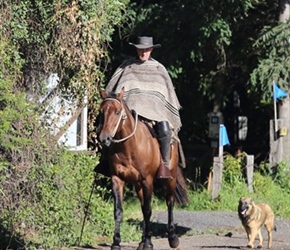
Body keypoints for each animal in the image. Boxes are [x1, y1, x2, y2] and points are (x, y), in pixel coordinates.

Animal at [96, 88, 189, 250]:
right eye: (102, 111)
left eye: (118, 111)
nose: (104, 138)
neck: (129, 148)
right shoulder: (117, 179)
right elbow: (118, 210)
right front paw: (116, 242)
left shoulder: (148, 181)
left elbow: (148, 210)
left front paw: (149, 243)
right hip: (138, 184)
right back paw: (142, 241)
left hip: (169, 179)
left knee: (169, 202)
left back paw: (172, 238)